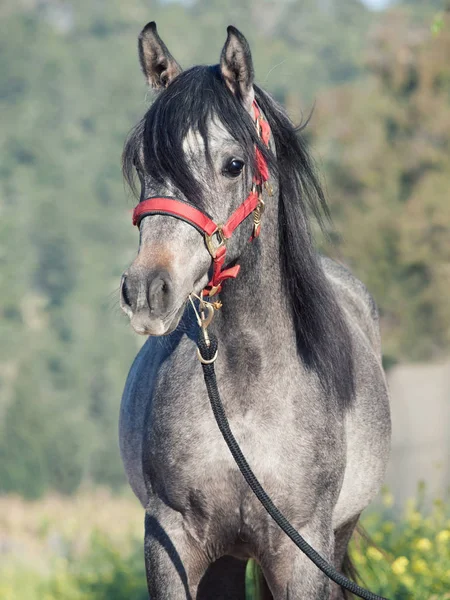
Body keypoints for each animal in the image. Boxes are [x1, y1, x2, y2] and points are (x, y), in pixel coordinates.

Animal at [118, 21, 390, 596]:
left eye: (233, 164)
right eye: (144, 165)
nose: (148, 289)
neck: (246, 393)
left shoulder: (302, 552)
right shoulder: (171, 542)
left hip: (334, 537)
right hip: (227, 557)